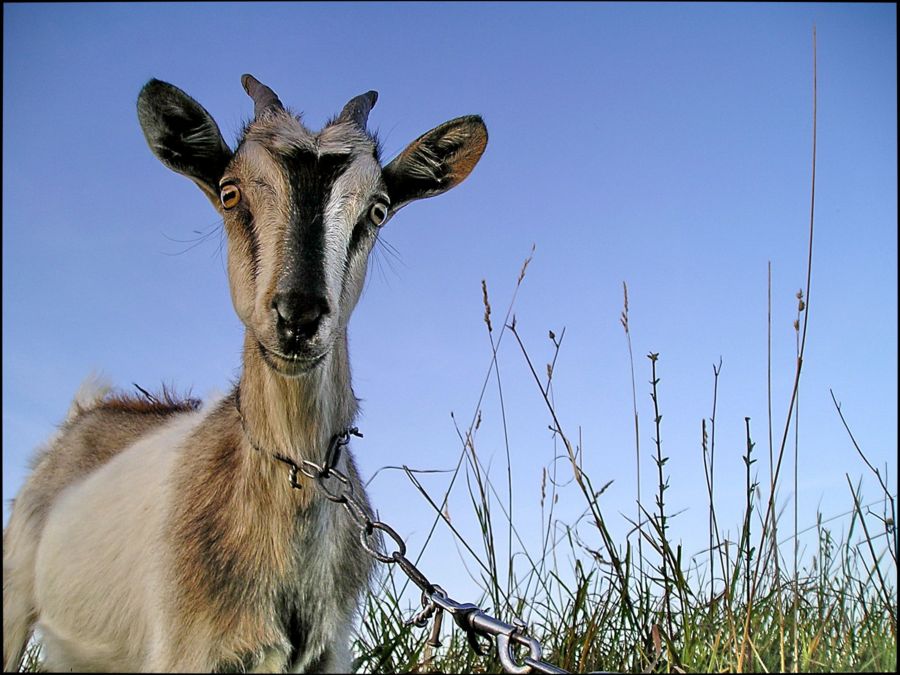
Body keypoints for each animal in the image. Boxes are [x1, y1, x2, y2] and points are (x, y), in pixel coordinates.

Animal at [3, 72, 488, 672]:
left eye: (376, 211)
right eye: (230, 193)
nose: (297, 316)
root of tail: (85, 415)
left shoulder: (330, 652)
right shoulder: (186, 649)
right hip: (14, 592)